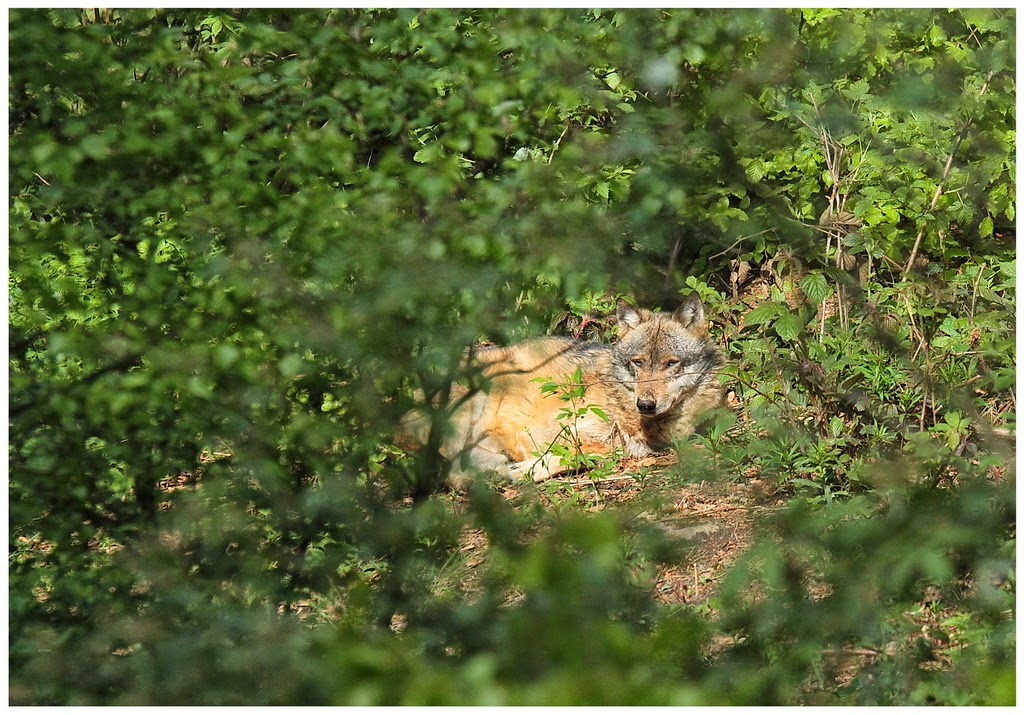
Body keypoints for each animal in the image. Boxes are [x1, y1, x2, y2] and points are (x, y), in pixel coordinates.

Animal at [399, 292, 720, 481]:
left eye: (671, 363)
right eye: (638, 363)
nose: (646, 405)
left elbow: (593, 453)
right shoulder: (542, 430)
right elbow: (576, 452)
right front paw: (531, 468)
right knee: (453, 473)